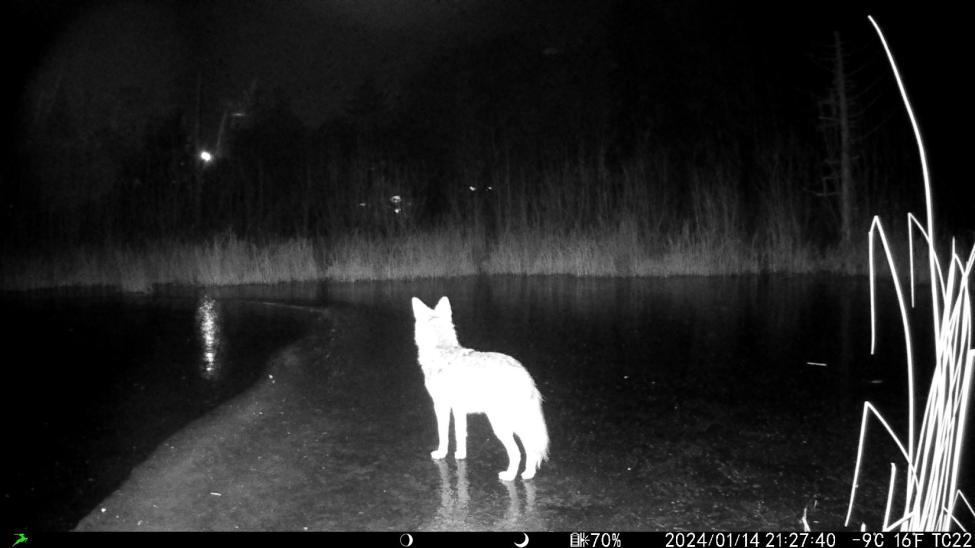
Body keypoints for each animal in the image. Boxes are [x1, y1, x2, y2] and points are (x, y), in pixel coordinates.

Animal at [412, 296, 548, 480]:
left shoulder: (441, 406)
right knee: (530, 449)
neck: (442, 349)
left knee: (517, 452)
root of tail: (523, 374)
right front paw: (460, 455)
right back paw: (528, 474)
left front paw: (441, 454)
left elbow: (443, 434)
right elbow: (460, 435)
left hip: (500, 425)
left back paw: (509, 475)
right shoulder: (459, 410)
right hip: (518, 423)